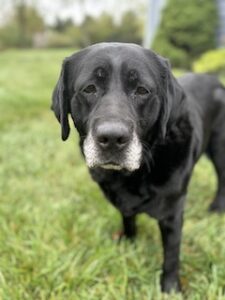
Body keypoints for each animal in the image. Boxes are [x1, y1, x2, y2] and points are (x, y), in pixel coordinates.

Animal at [51, 42, 225, 292]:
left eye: (142, 90)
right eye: (89, 88)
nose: (112, 138)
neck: (135, 173)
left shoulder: (172, 213)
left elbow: (171, 254)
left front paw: (170, 288)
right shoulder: (123, 203)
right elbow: (128, 218)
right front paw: (129, 243)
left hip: (220, 146)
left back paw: (217, 206)